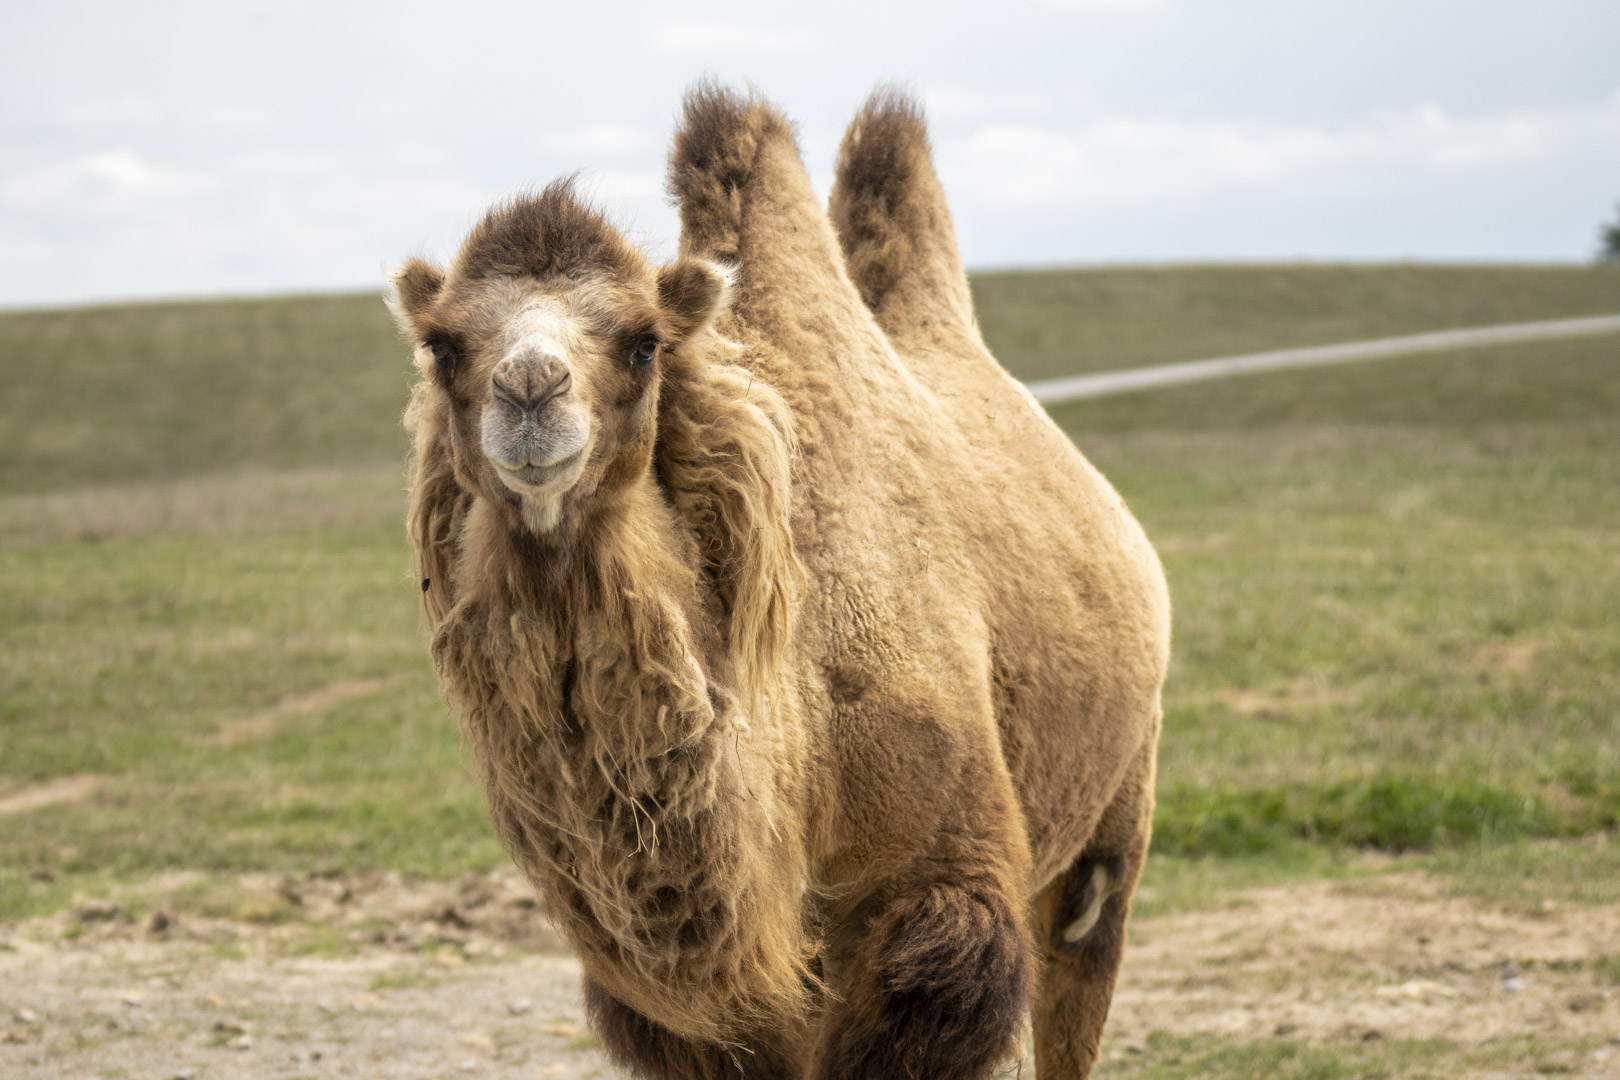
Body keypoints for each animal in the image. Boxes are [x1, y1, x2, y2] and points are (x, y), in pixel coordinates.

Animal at [398, 86, 1172, 1080]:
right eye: (442, 346)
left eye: (644, 342)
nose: (530, 387)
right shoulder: (717, 1007)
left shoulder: (932, 905)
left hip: (1120, 799)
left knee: (1085, 943)